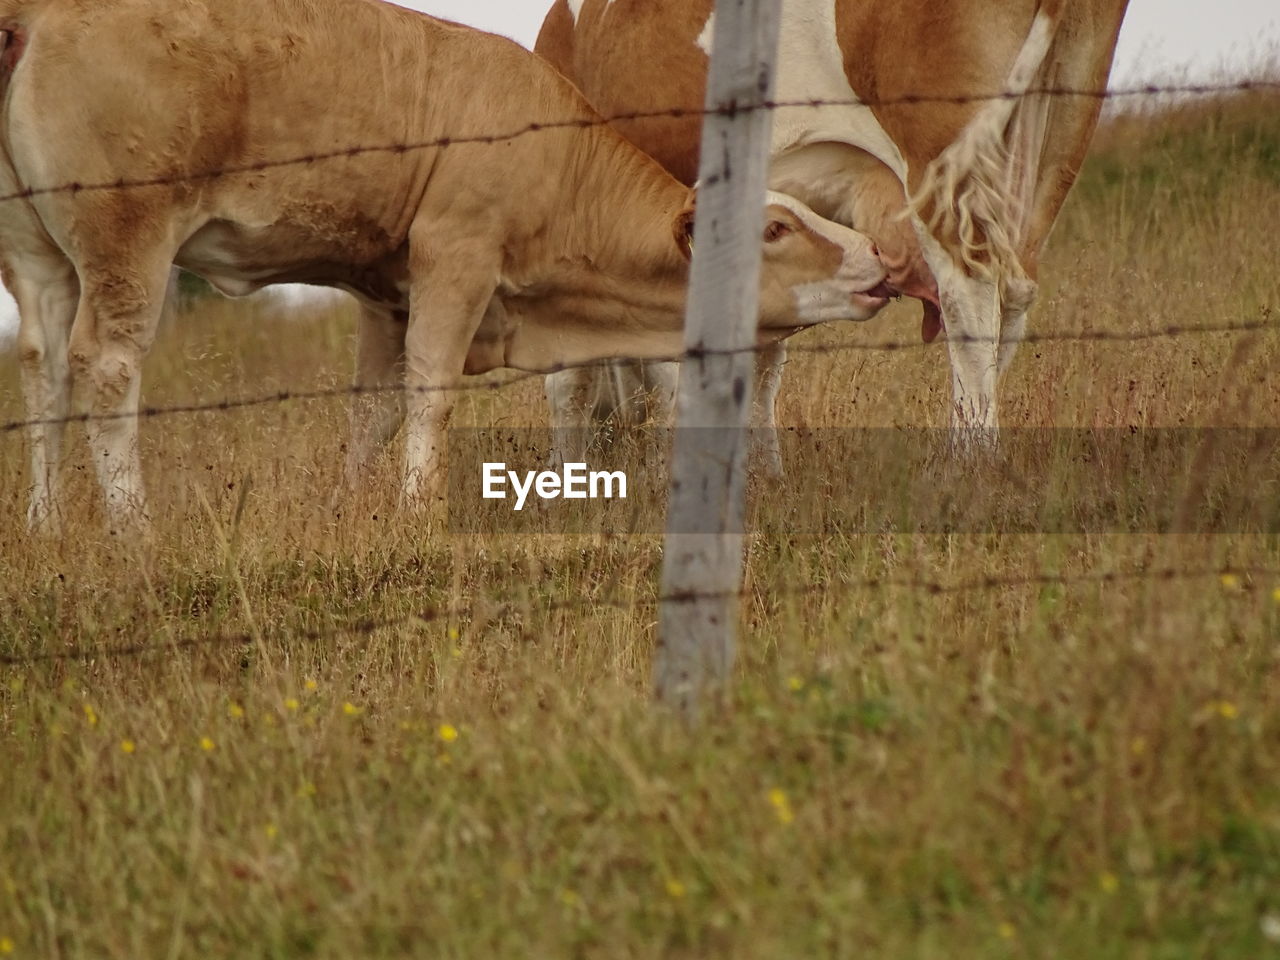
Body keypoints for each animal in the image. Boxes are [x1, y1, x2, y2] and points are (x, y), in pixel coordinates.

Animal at [0, 0, 890, 535]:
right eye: (775, 226)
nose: (877, 258)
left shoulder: (386, 298)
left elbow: (373, 410)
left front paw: (351, 504)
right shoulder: (453, 261)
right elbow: (429, 393)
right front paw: (419, 509)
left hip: (38, 260)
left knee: (44, 374)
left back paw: (45, 522)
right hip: (127, 243)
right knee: (106, 367)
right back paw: (132, 529)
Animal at [537, 0, 1131, 450]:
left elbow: (573, 377)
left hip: (941, 159)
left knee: (970, 301)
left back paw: (967, 465)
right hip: (1052, 141)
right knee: (1013, 302)